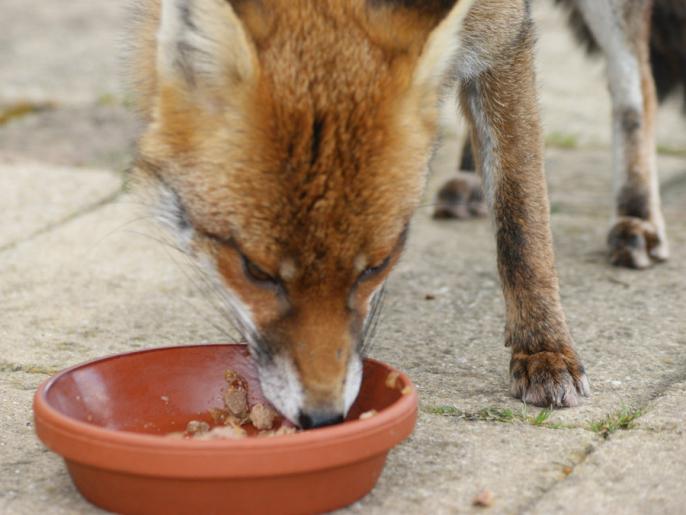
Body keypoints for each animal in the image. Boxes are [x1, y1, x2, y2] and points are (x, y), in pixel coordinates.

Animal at [129, 0, 592, 428]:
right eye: (255, 271)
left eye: (377, 266)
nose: (323, 417)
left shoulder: (507, 40)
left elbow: (522, 222)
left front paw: (545, 349)